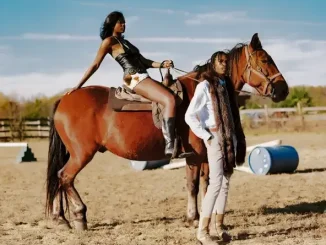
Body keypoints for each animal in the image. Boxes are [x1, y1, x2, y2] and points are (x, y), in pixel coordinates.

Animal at [45, 32, 288, 230]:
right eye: (265, 60)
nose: (283, 90)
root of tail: (65, 99)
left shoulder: (206, 154)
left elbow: (206, 184)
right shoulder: (194, 155)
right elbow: (192, 185)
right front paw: (193, 218)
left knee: (58, 177)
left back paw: (60, 218)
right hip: (82, 153)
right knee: (65, 177)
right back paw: (79, 215)